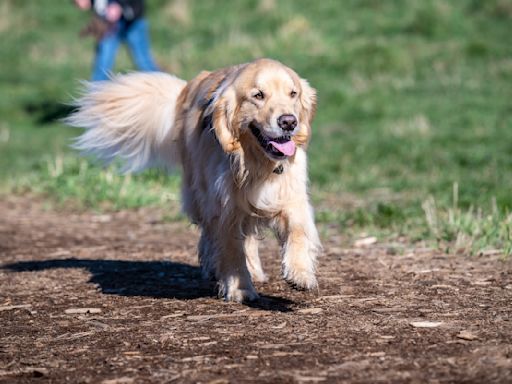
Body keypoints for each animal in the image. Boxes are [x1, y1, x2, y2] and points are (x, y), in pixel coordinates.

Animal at [67, 58, 322, 302]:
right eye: (258, 95)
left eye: (293, 93)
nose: (288, 122)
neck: (255, 163)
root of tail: (188, 87)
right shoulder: (223, 208)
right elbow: (231, 249)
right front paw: (239, 288)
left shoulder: (290, 196)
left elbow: (298, 231)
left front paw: (300, 273)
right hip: (199, 194)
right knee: (211, 236)